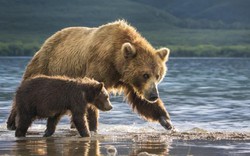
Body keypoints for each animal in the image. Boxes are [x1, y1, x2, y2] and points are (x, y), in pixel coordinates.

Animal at [7, 20, 172, 131]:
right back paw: (12, 123)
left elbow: (140, 99)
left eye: (158, 76)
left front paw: (166, 120)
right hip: (45, 65)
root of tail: (48, 39)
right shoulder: (99, 66)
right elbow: (93, 98)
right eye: (145, 75)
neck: (116, 60)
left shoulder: (128, 80)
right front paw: (93, 127)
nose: (154, 95)